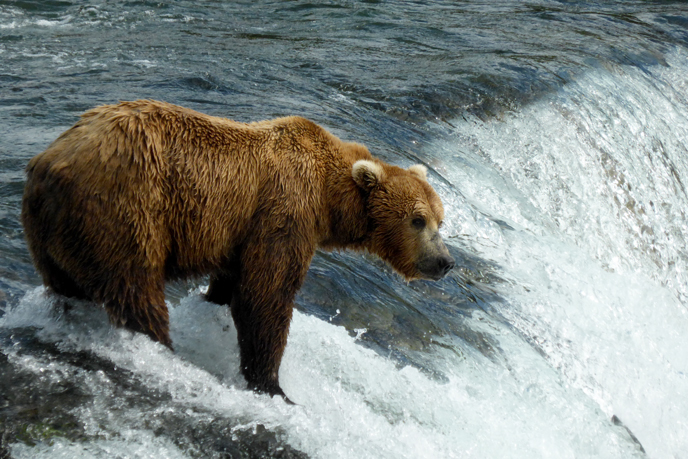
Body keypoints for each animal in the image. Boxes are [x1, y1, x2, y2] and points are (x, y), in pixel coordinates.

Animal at [21, 99, 454, 398]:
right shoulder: (284, 212)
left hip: (55, 238)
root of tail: (47, 162)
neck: (328, 199)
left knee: (68, 286)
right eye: (418, 220)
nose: (445, 261)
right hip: (124, 208)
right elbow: (266, 296)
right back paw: (160, 349)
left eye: (441, 218)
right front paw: (272, 385)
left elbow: (231, 282)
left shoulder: (240, 233)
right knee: (136, 289)